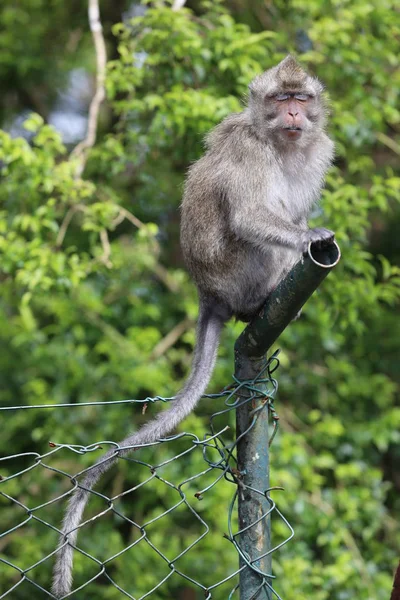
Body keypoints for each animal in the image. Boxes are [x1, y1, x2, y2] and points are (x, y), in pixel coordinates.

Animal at [53, 55, 334, 596]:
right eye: (280, 99)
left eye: (301, 99)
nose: (293, 113)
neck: (278, 143)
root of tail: (210, 295)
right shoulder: (249, 151)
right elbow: (251, 215)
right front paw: (312, 234)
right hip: (237, 273)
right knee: (260, 235)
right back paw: (266, 299)